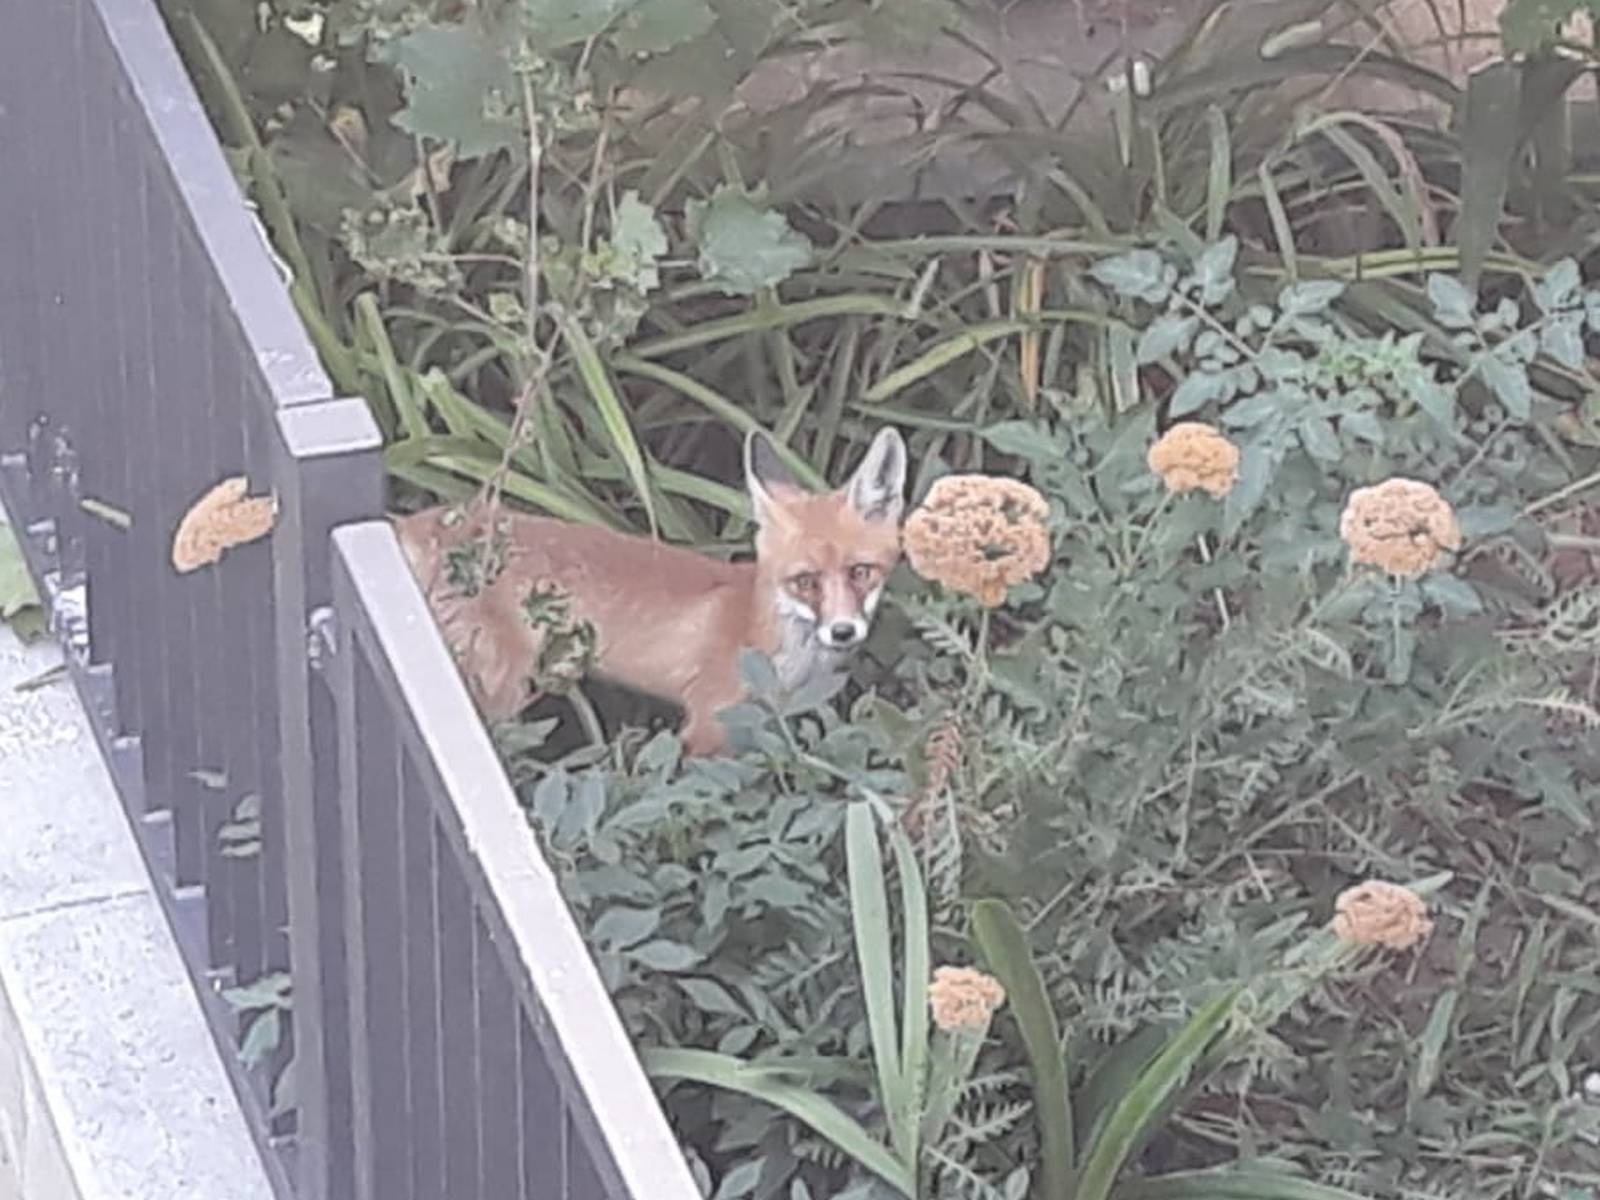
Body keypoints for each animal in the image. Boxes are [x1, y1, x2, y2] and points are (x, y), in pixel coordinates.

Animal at [392, 428, 908, 755]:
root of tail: (415, 523)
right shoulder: (707, 730)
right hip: (503, 692)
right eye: (805, 581)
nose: (843, 631)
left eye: (861, 572)